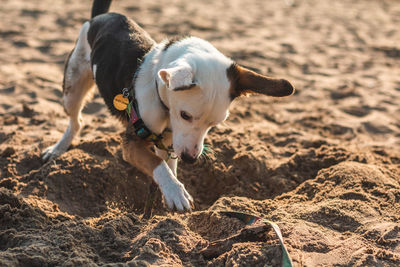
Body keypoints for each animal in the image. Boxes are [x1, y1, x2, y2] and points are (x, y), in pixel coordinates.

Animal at [43, 0, 294, 213]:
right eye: (185, 115)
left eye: (215, 124)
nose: (191, 159)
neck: (160, 96)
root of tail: (101, 16)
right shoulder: (133, 143)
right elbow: (158, 165)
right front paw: (176, 192)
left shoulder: (171, 142)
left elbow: (168, 165)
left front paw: (167, 195)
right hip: (72, 86)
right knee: (76, 121)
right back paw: (57, 149)